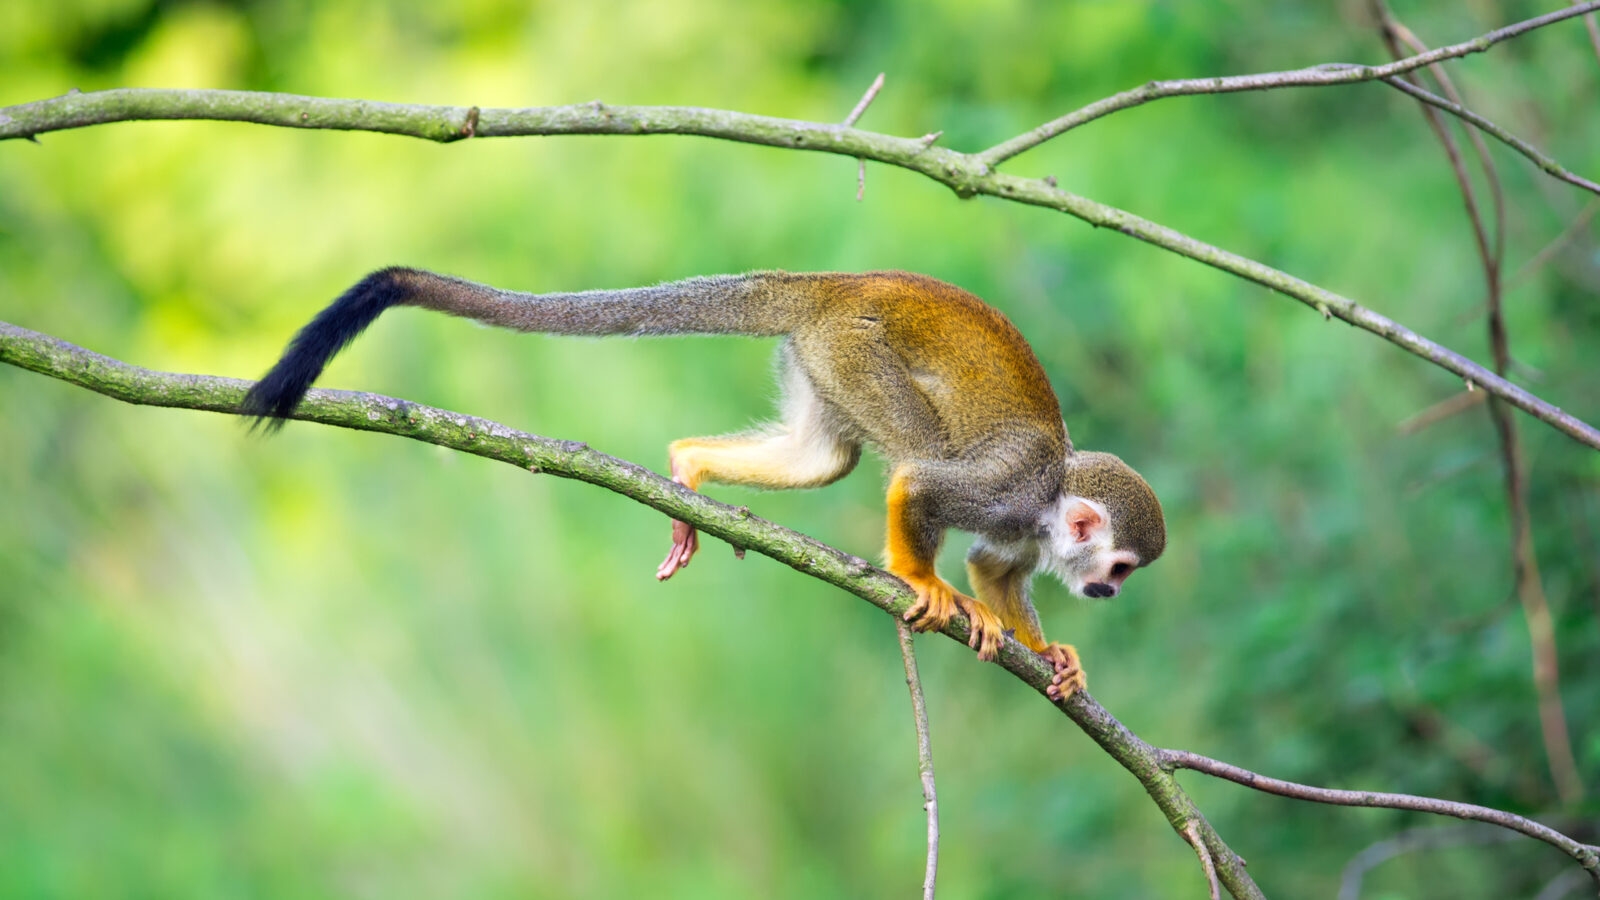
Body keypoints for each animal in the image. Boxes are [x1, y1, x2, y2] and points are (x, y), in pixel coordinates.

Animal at [241, 268, 1166, 699]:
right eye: (1120, 568)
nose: (1112, 594)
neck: (1049, 502)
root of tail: (835, 283)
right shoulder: (1011, 488)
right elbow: (924, 490)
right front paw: (924, 582)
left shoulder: (1023, 528)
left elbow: (995, 566)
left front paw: (1050, 652)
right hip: (855, 347)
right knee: (907, 453)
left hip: (822, 357)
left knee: (825, 458)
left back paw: (688, 466)